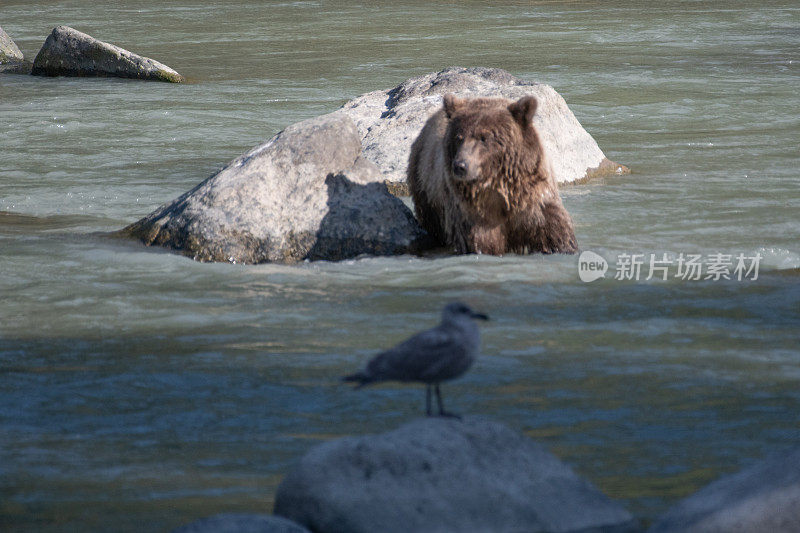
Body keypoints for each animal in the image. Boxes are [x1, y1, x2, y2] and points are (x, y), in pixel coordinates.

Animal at [412, 92, 576, 255]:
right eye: (459, 138)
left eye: (484, 138)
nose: (460, 166)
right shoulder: (473, 212)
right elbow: (482, 241)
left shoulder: (534, 200)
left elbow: (553, 230)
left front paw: (563, 246)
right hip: (425, 192)